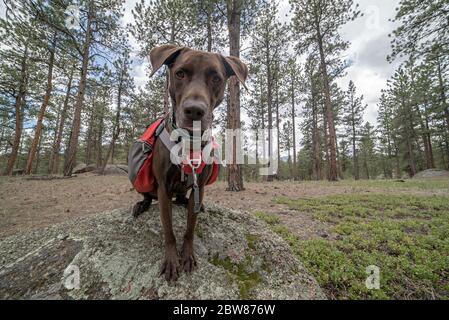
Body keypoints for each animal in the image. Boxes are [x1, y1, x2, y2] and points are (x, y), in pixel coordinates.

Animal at [131, 44, 247, 280]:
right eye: (180, 74)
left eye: (216, 78)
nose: (194, 110)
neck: (188, 142)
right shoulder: (164, 189)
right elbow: (168, 230)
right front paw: (171, 259)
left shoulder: (198, 186)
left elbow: (190, 228)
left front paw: (187, 255)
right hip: (144, 185)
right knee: (147, 196)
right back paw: (141, 205)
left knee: (185, 200)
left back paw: (190, 203)